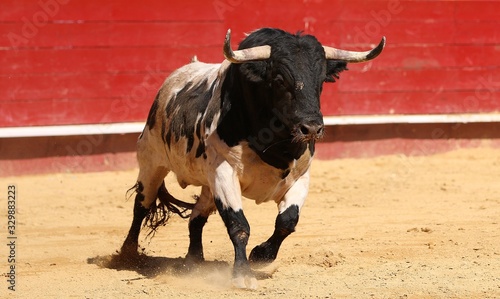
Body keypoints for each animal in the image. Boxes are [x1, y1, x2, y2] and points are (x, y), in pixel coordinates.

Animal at [119, 27, 384, 288]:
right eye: (279, 80)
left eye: (320, 81)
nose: (311, 128)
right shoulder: (224, 172)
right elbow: (239, 225)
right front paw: (243, 274)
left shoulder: (301, 177)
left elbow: (287, 221)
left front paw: (261, 255)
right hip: (151, 161)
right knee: (141, 205)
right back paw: (127, 254)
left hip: (208, 185)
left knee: (196, 218)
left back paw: (193, 261)